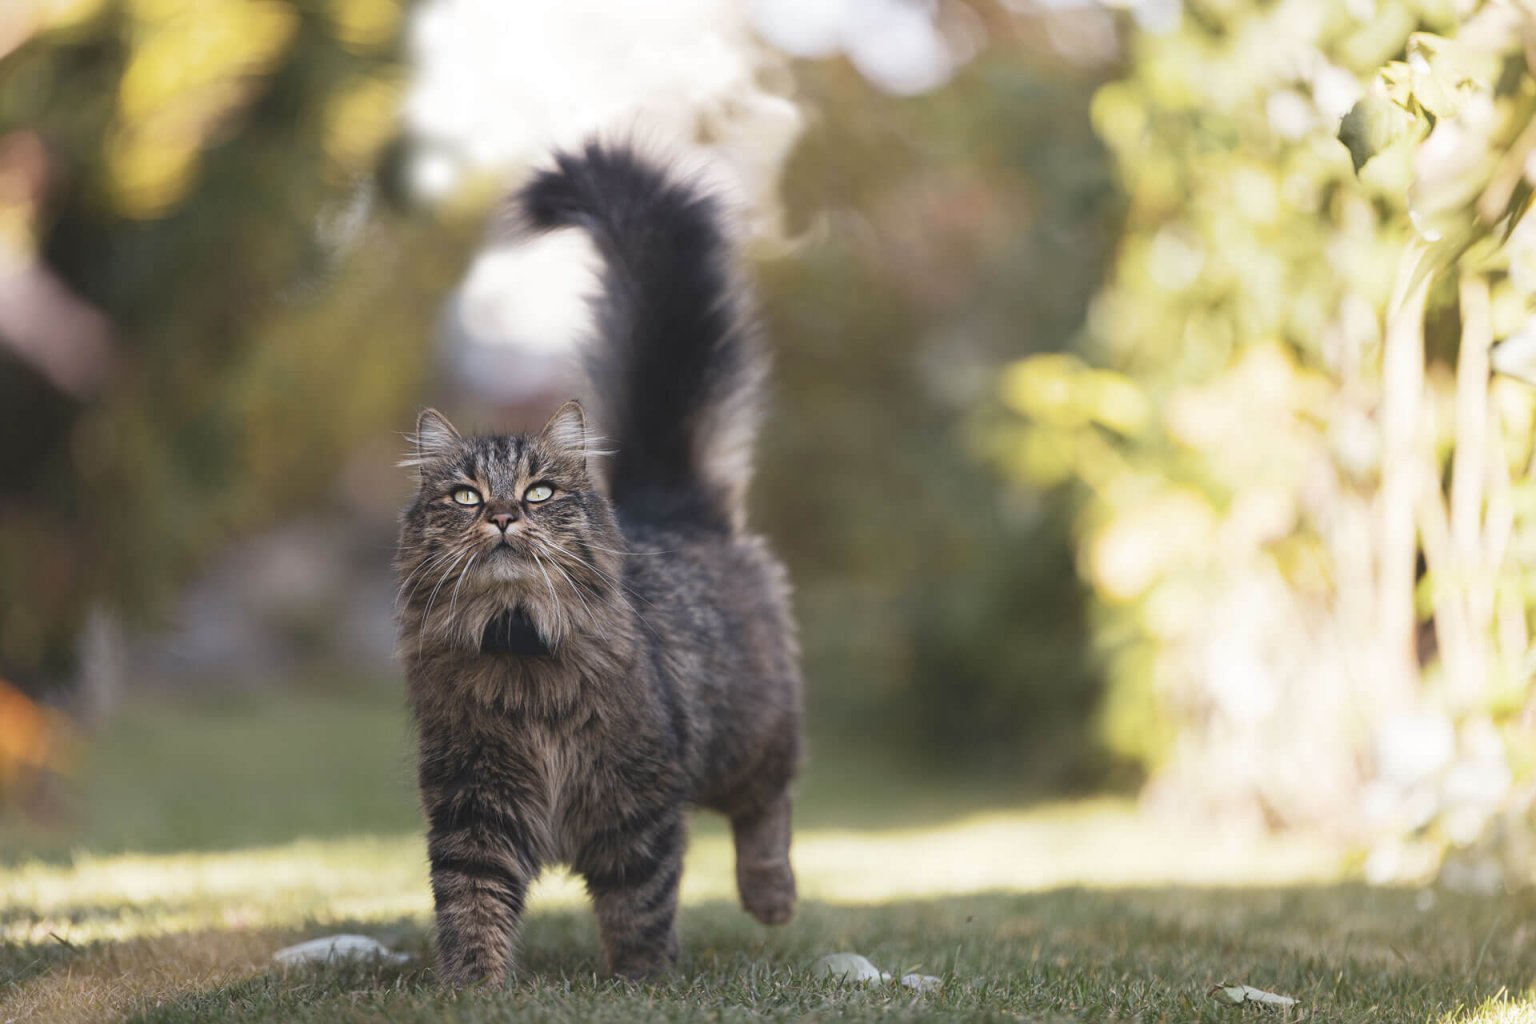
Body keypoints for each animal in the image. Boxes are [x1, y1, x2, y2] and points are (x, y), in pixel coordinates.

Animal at [393, 140, 804, 982]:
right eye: (464, 496)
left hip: (746, 734)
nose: (503, 515)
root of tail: (669, 501)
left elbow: (639, 899)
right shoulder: (471, 804)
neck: (519, 657)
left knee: (768, 801)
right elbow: (471, 905)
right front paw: (474, 988)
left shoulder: (637, 800)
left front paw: (642, 981)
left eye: (540, 491)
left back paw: (771, 896)